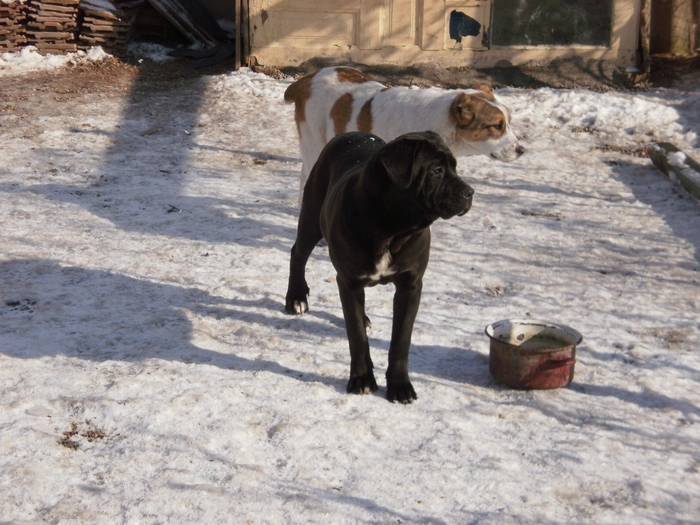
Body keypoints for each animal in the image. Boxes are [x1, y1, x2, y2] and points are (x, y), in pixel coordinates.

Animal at [284, 130, 476, 402]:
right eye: (436, 171)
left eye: (455, 168)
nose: (470, 192)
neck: (392, 229)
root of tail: (349, 133)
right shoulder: (349, 282)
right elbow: (356, 336)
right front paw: (362, 379)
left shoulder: (410, 286)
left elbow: (401, 340)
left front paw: (399, 385)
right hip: (312, 216)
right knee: (298, 254)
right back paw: (296, 297)